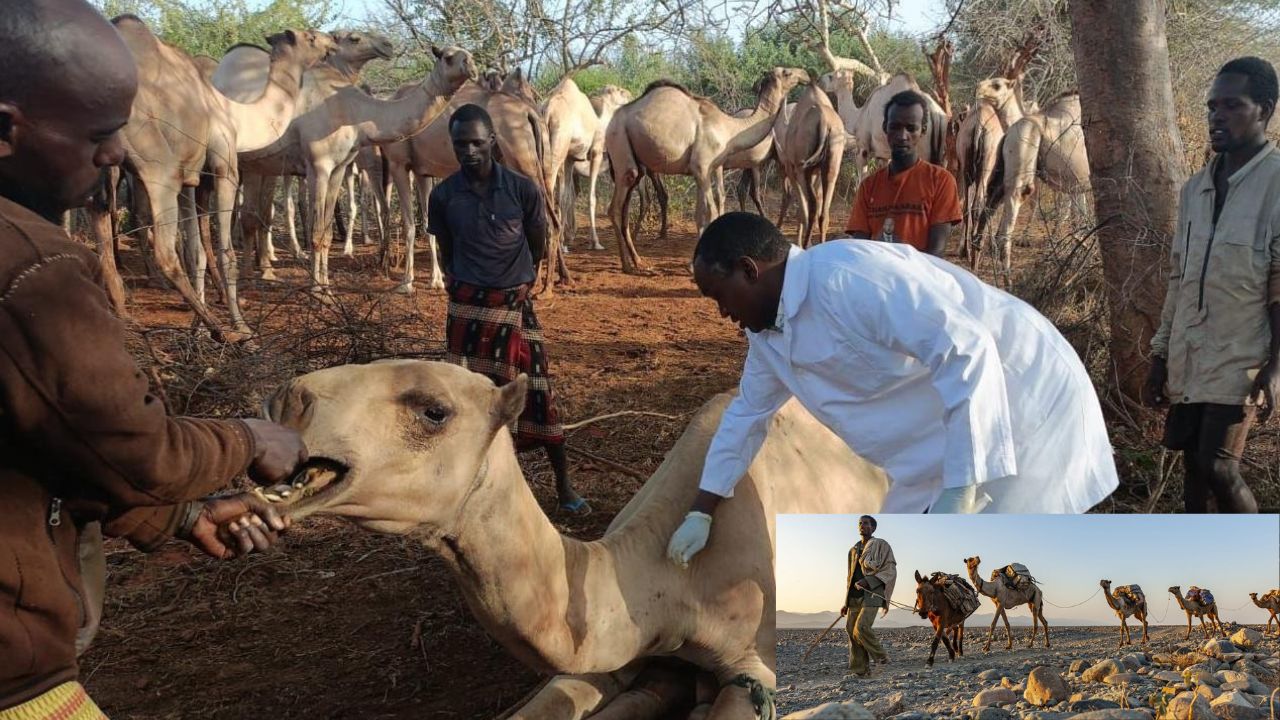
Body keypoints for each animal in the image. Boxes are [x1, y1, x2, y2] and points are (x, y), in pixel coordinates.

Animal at [92, 17, 335, 340]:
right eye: (310, 38)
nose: (332, 41)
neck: (237, 116)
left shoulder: (192, 179)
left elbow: (197, 252)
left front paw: (197, 329)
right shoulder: (224, 167)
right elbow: (225, 253)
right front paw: (241, 326)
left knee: (100, 229)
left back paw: (123, 314)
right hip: (158, 165)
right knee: (164, 252)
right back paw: (222, 332)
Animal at [217, 37, 476, 294]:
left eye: (469, 53)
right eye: (448, 57)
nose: (473, 68)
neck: (352, 110)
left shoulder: (339, 167)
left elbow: (326, 232)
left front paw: (326, 286)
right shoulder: (319, 166)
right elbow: (316, 230)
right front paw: (316, 290)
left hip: (257, 165)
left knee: (253, 214)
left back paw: (255, 273)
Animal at [605, 67, 810, 273]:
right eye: (786, 72)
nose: (805, 75)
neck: (730, 129)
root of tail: (611, 121)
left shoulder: (705, 170)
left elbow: (699, 214)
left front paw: (691, 264)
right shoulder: (702, 168)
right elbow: (711, 211)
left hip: (636, 164)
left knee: (625, 207)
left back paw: (638, 261)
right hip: (620, 144)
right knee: (615, 207)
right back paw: (626, 265)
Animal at [777, 84, 845, 248]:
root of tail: (824, 122)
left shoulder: (792, 169)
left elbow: (802, 209)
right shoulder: (816, 172)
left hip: (803, 168)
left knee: (812, 207)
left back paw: (807, 244)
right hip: (833, 163)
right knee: (824, 211)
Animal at [976, 92, 1091, 282]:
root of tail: (1008, 134)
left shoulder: (1076, 185)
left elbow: (1078, 219)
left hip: (1002, 174)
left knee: (987, 212)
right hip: (1022, 162)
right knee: (1006, 227)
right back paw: (1008, 280)